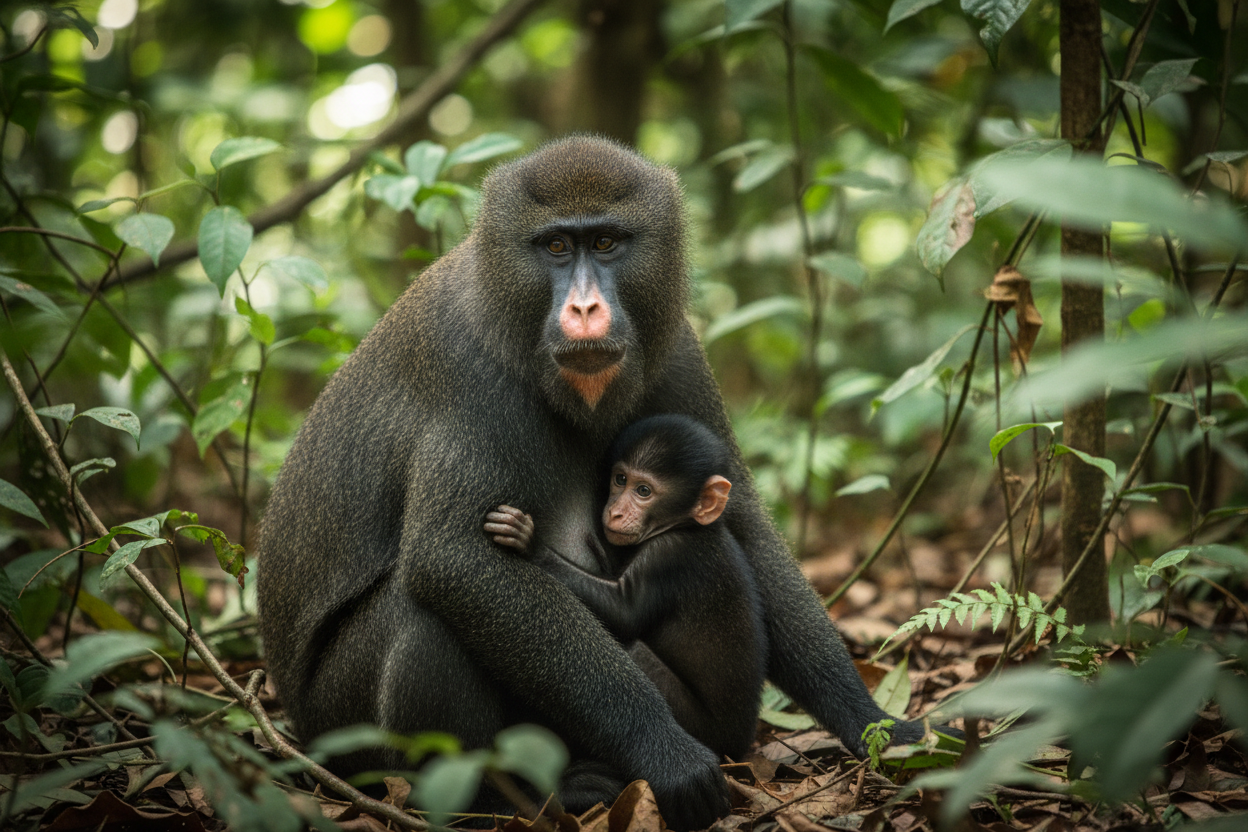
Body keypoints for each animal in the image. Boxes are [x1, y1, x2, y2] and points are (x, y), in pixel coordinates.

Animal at [484, 414, 767, 760]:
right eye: (620, 479)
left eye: (643, 490)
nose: (615, 511)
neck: (686, 525)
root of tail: (742, 746)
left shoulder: (669, 555)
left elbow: (624, 611)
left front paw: (531, 543)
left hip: (706, 732)